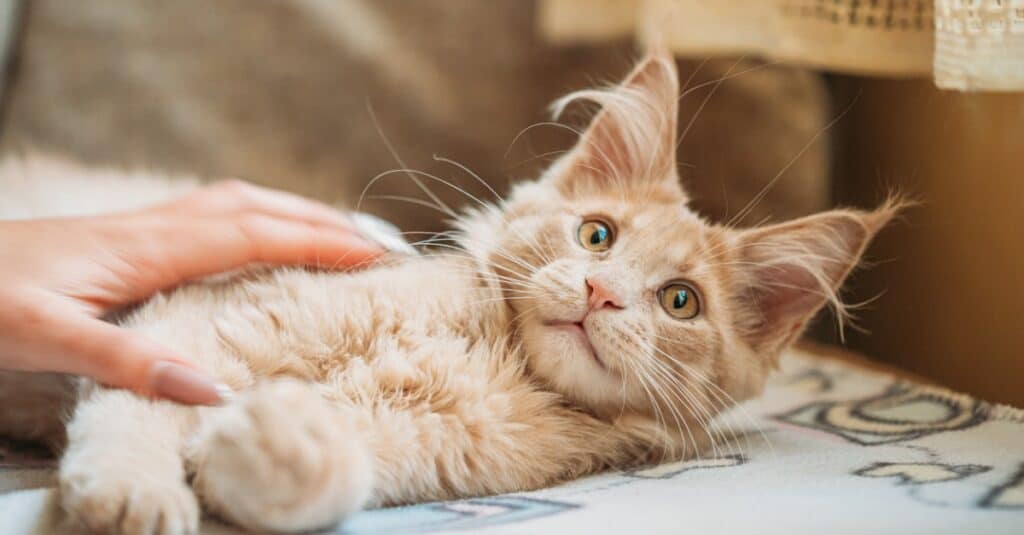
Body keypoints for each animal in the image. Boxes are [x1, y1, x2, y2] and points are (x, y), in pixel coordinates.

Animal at [0, 50, 897, 532]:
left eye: (681, 301)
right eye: (597, 235)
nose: (601, 292)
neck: (483, 353)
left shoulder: (429, 452)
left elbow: (323, 475)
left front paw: (270, 442)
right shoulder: (197, 327)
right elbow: (136, 409)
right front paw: (136, 491)